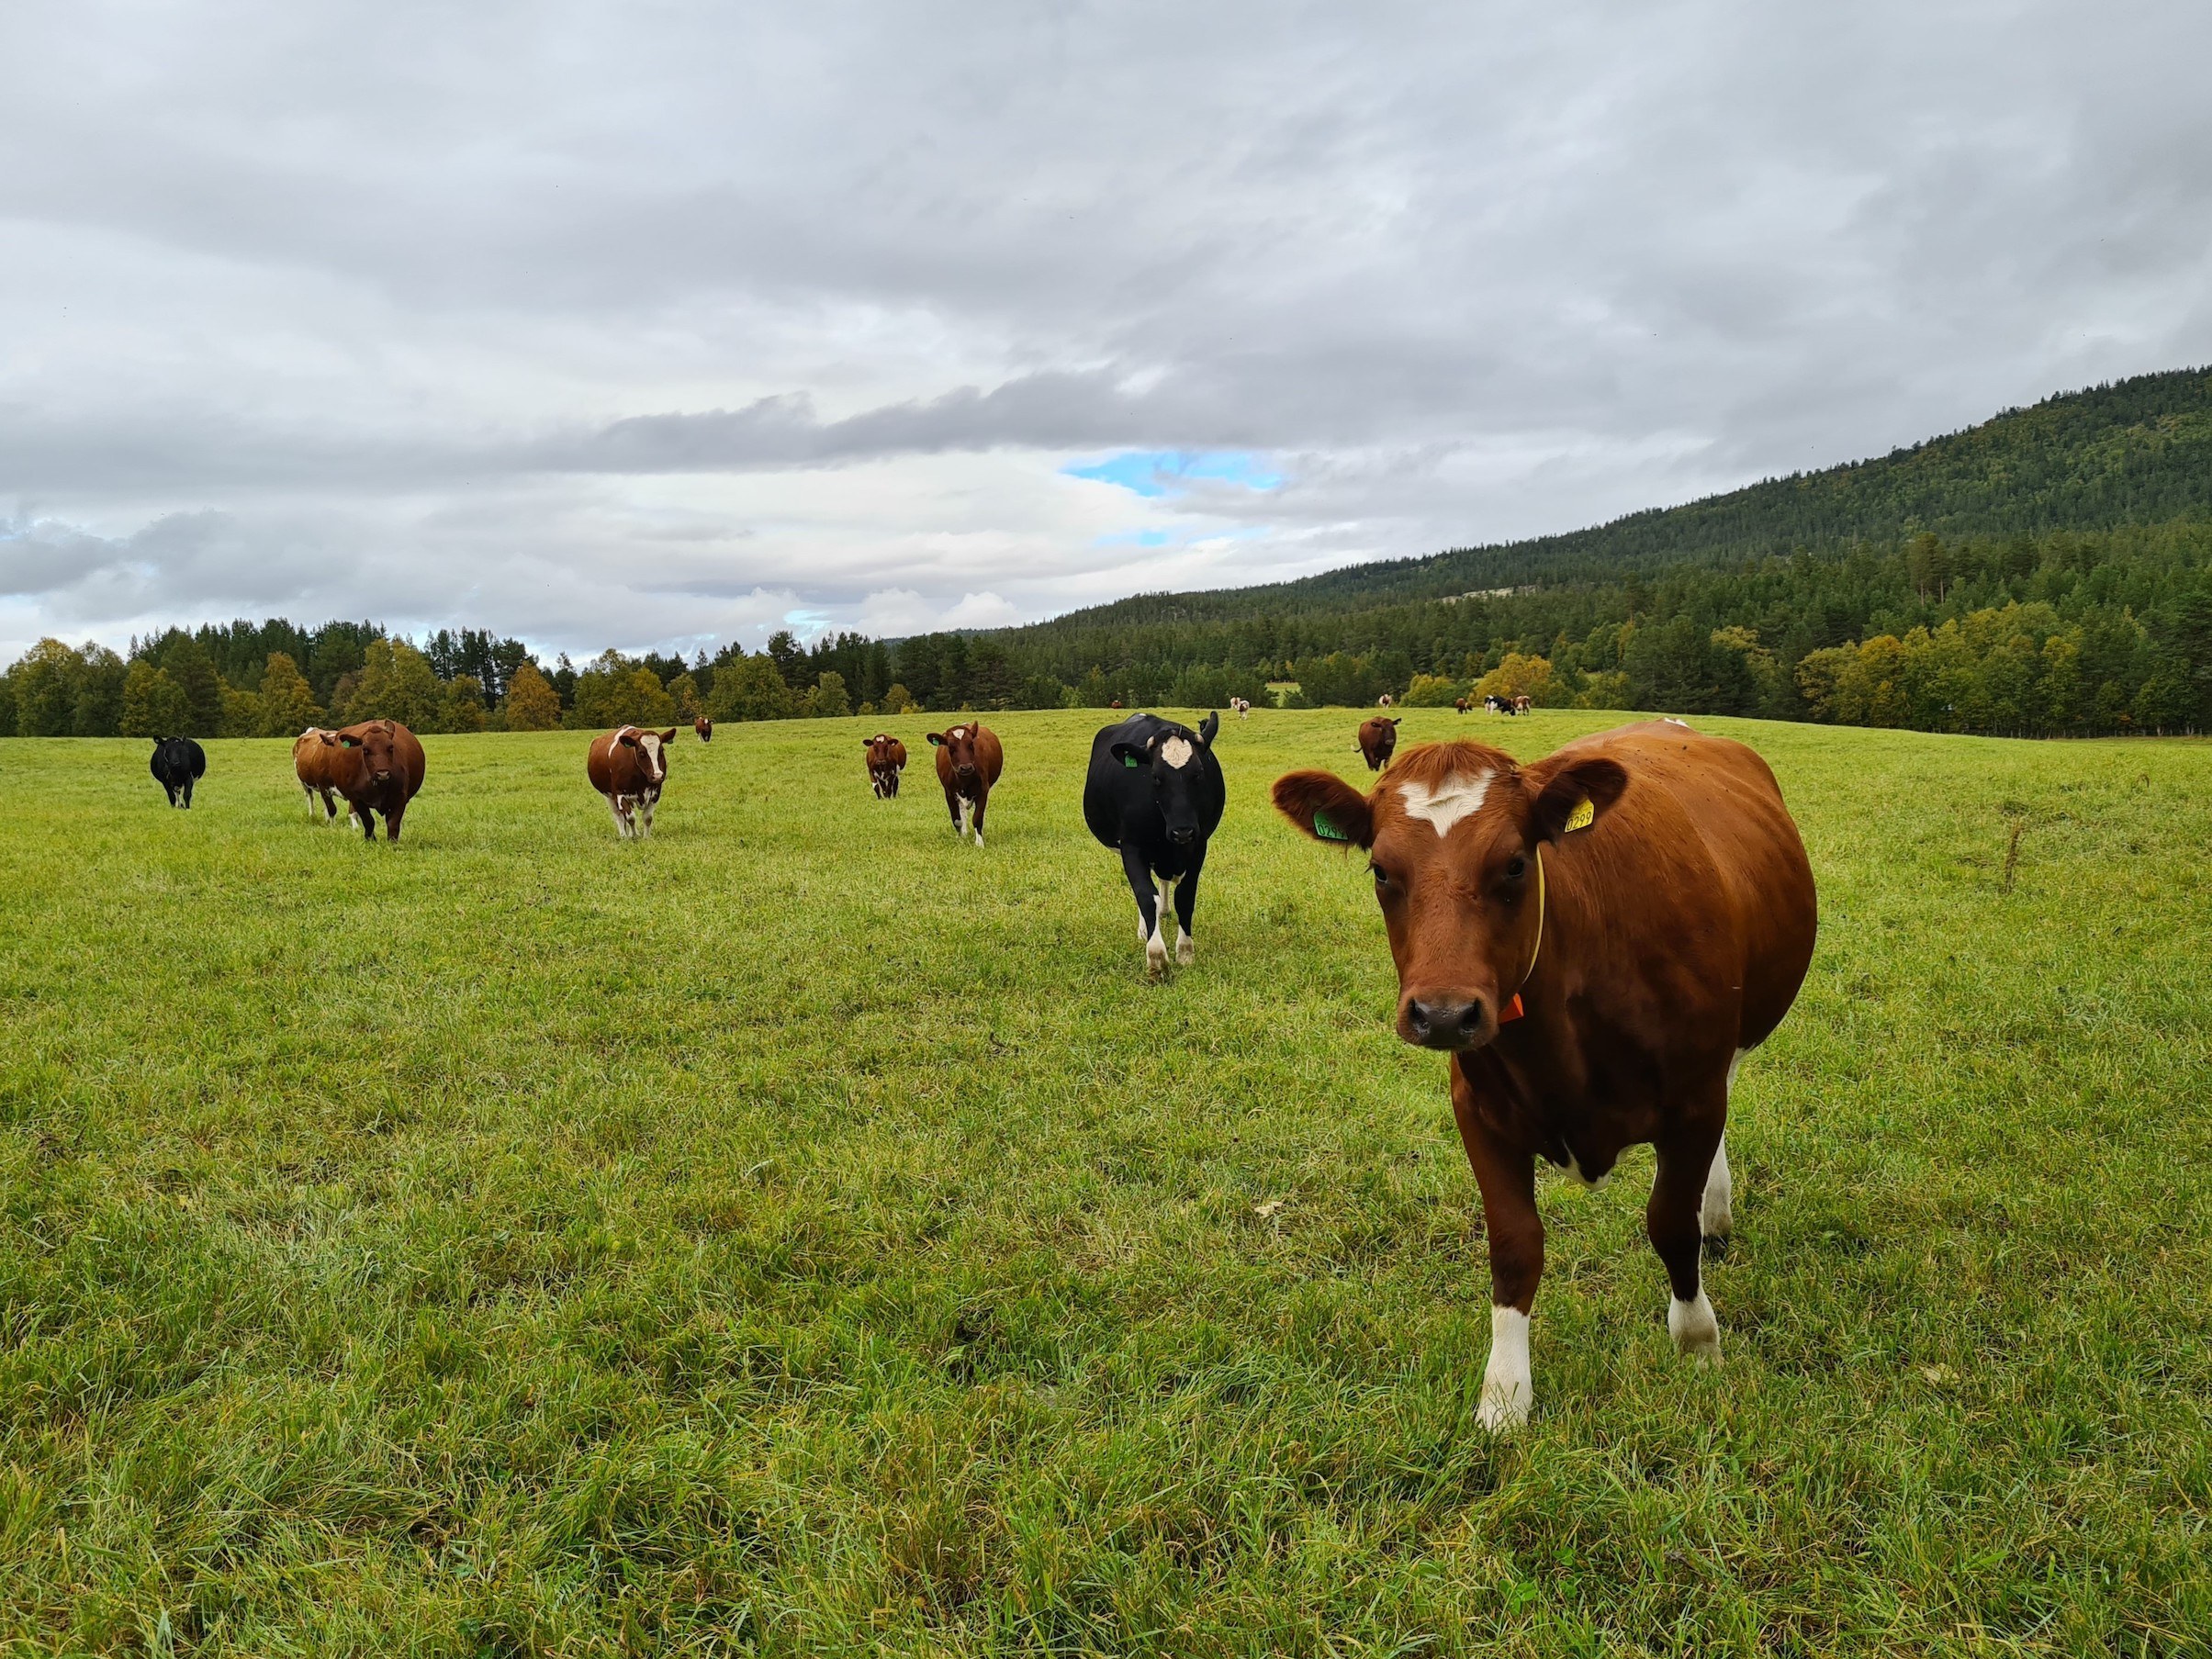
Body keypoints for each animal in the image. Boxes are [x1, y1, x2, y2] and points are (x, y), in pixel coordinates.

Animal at [322, 721, 426, 845]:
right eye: (365, 750)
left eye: (391, 747)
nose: (383, 774)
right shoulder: (356, 799)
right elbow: (368, 820)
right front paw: (370, 839)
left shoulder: (400, 797)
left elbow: (393, 822)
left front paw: (392, 843)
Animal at [588, 725, 672, 845]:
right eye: (641, 753)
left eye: (661, 751)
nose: (657, 776)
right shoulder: (619, 794)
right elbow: (631, 817)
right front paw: (634, 836)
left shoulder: (656, 792)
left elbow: (648, 818)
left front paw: (646, 837)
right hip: (608, 796)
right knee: (619, 816)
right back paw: (624, 835)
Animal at [924, 721, 1004, 849]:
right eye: (951, 747)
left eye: (971, 744)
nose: (966, 767)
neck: (964, 780)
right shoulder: (949, 792)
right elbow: (957, 820)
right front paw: (961, 837)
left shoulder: (983, 791)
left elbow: (977, 818)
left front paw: (979, 843)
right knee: (962, 811)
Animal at [1084, 712, 1230, 973]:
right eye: (1155, 777)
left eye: (1198, 773)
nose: (1183, 831)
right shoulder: (1131, 847)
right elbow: (1145, 895)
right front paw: (1156, 955)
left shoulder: (1198, 845)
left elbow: (1185, 896)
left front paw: (1185, 951)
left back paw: (1164, 910)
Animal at [1274, 725, 1823, 1433]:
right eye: (1381, 870)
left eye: (1514, 864)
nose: (1443, 1013)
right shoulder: (1478, 1111)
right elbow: (1514, 1245)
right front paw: (1504, 1394)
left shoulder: (1695, 1099)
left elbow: (1670, 1222)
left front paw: (1697, 1342)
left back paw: (1715, 1212)